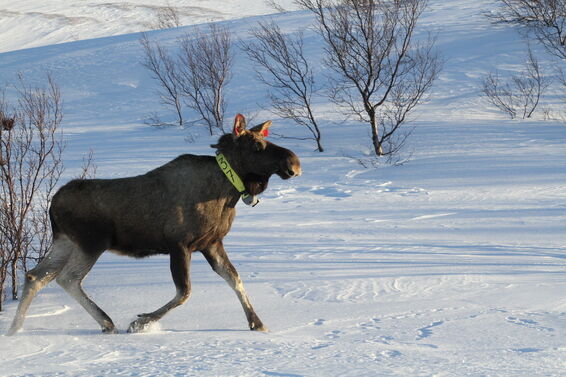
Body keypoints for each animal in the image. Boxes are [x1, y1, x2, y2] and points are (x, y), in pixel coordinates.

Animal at [6, 113, 304, 334]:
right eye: (256, 146)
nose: (294, 163)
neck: (227, 192)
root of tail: (53, 205)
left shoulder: (211, 243)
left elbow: (235, 279)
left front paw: (257, 323)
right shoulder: (179, 244)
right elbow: (184, 292)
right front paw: (140, 322)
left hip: (65, 242)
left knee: (35, 276)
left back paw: (15, 329)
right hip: (91, 243)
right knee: (67, 278)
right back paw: (107, 322)